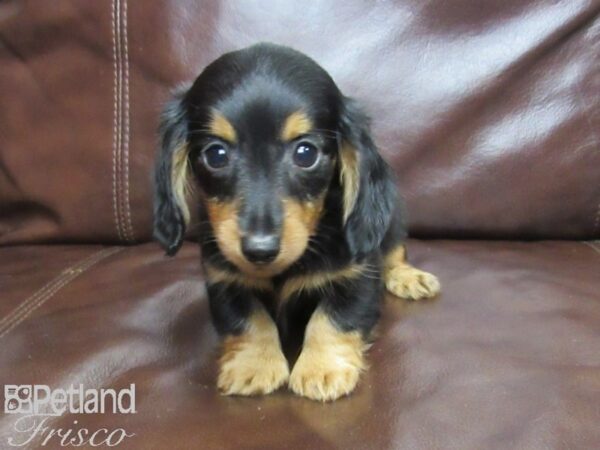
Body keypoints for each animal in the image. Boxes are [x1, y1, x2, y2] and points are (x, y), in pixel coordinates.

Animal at [152, 43, 438, 400]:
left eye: (306, 153)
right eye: (215, 155)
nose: (260, 249)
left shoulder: (358, 275)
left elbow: (332, 317)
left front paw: (322, 369)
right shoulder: (223, 279)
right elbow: (248, 318)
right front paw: (253, 365)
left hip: (392, 222)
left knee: (395, 251)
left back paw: (409, 277)